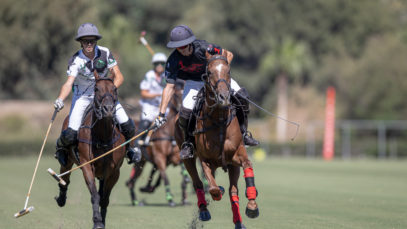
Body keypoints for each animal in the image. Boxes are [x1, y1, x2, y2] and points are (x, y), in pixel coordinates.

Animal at [53, 70, 126, 228]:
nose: (108, 109)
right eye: (96, 89)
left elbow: (104, 198)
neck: (103, 137)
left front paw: (102, 221)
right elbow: (95, 195)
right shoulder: (87, 165)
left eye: (115, 89)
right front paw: (97, 221)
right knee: (64, 177)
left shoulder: (114, 171)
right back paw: (61, 199)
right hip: (68, 159)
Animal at [174, 52, 260, 229]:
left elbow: (247, 168)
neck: (219, 119)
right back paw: (204, 210)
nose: (224, 97)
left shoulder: (237, 157)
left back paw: (238, 222)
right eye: (209, 72)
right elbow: (212, 187)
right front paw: (216, 194)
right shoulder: (206, 161)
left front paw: (252, 206)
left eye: (228, 71)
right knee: (198, 183)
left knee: (233, 191)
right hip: (188, 158)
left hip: (231, 166)